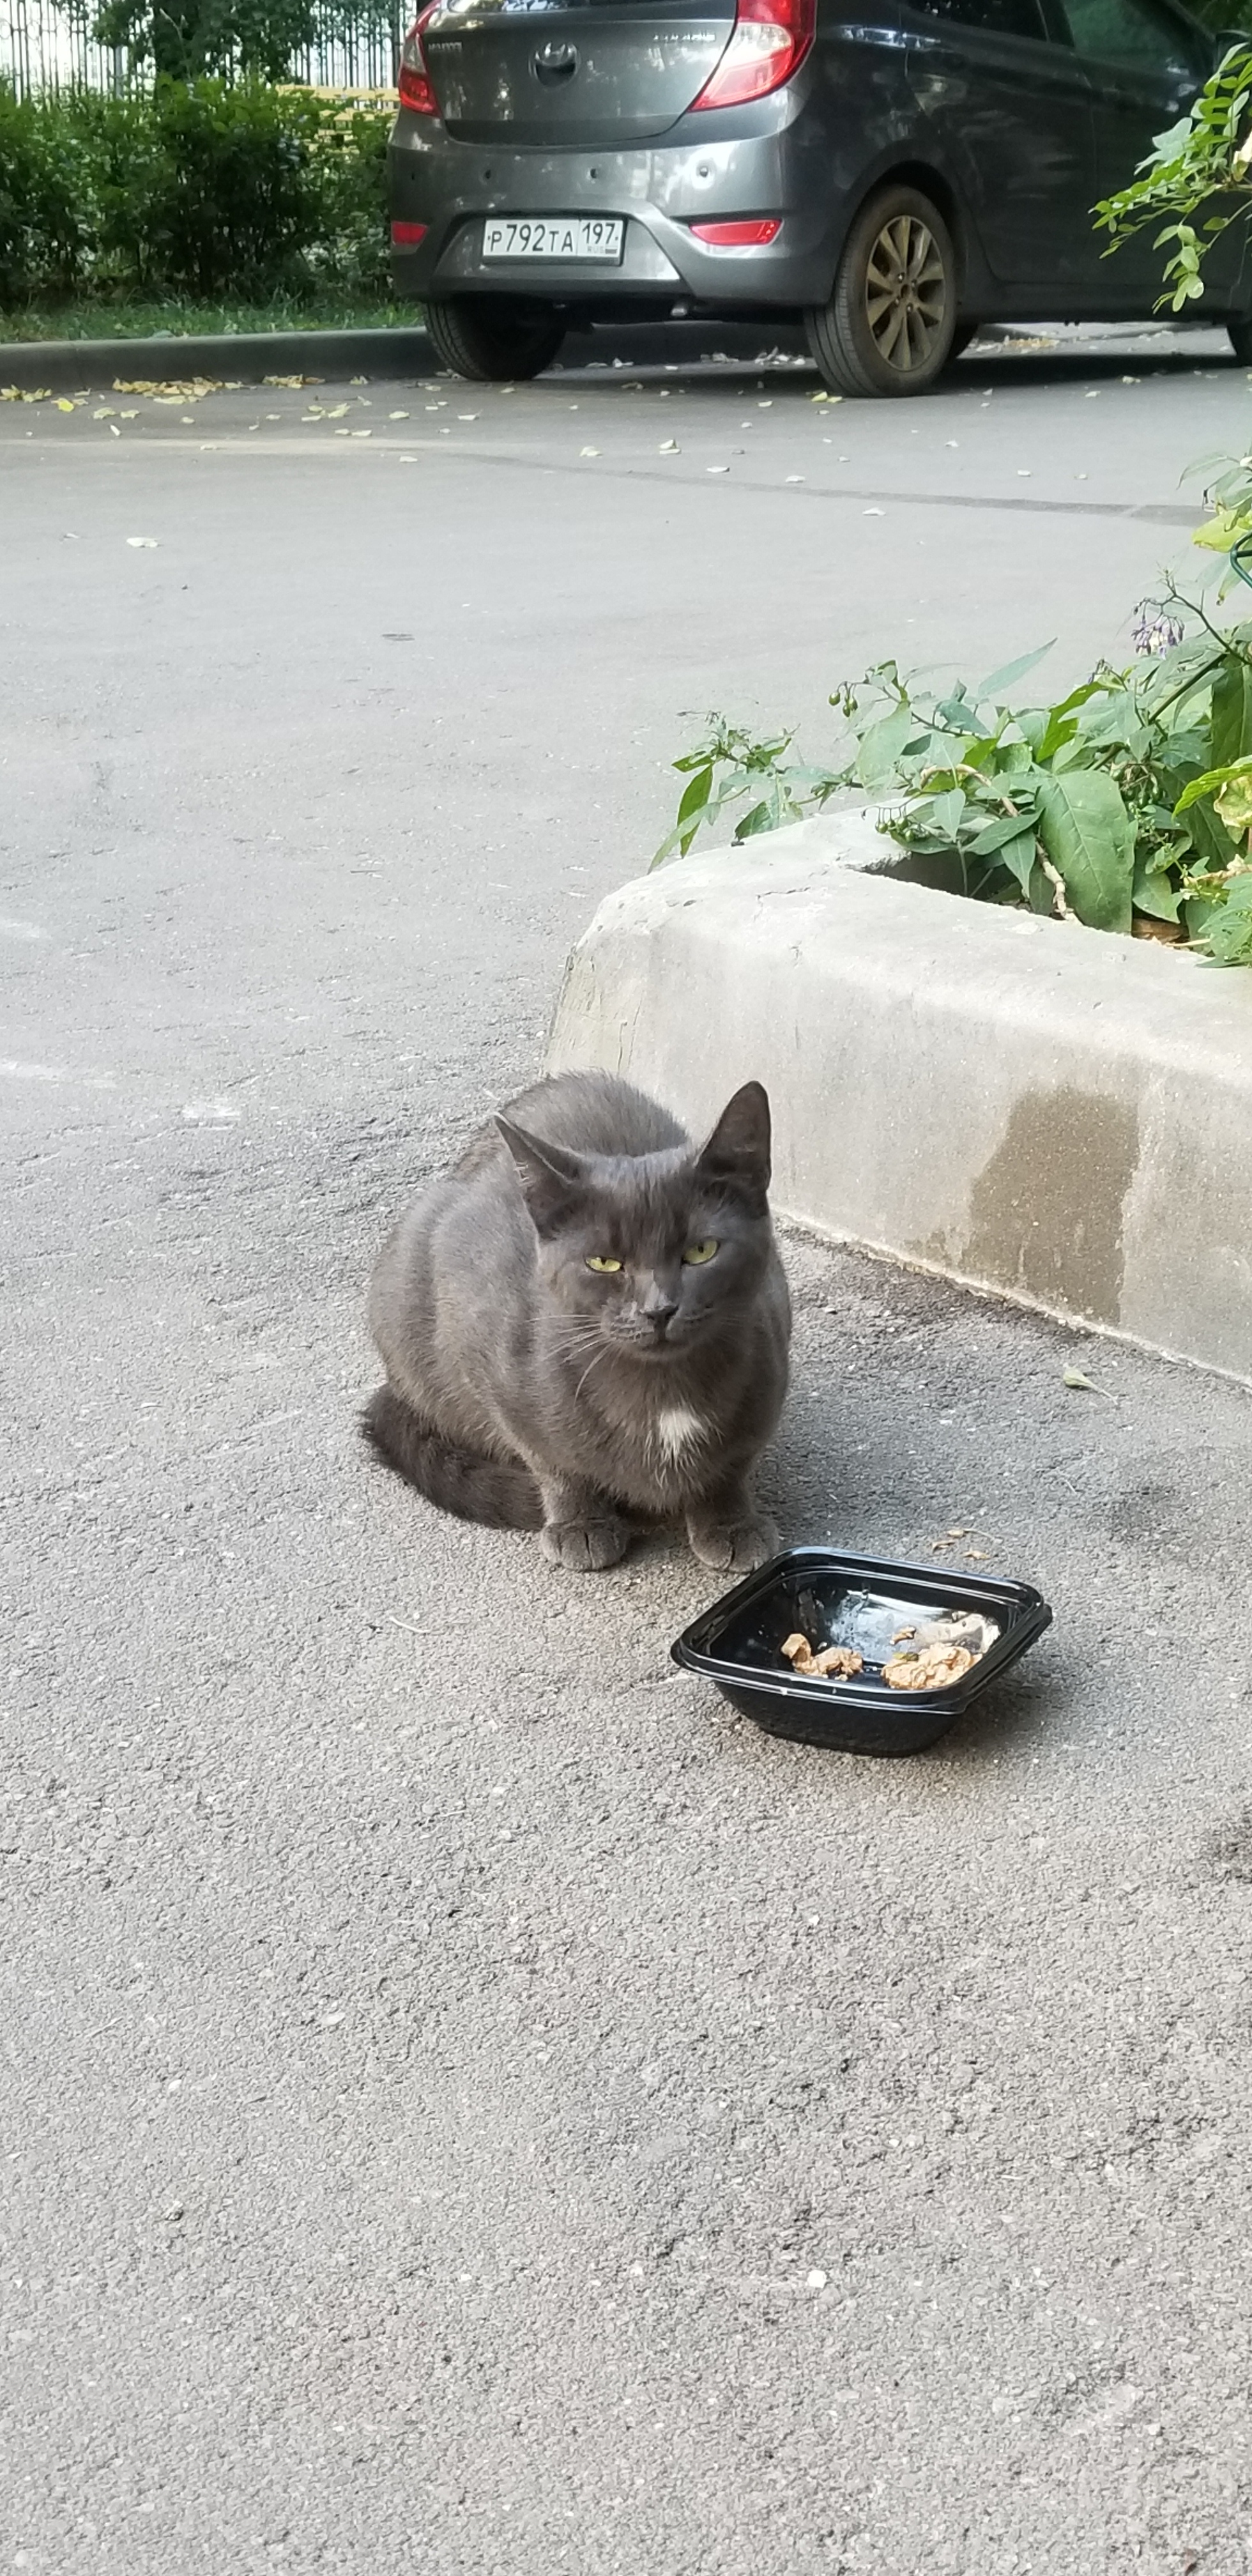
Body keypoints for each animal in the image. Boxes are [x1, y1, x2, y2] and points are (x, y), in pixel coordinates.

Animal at [363, 1066, 793, 1566]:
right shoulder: (490, 1360)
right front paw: (580, 1525)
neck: (663, 1391)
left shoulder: (771, 1352)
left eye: (702, 1251)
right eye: (603, 1263)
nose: (658, 1308)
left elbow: (732, 1465)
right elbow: (553, 1464)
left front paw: (730, 1522)